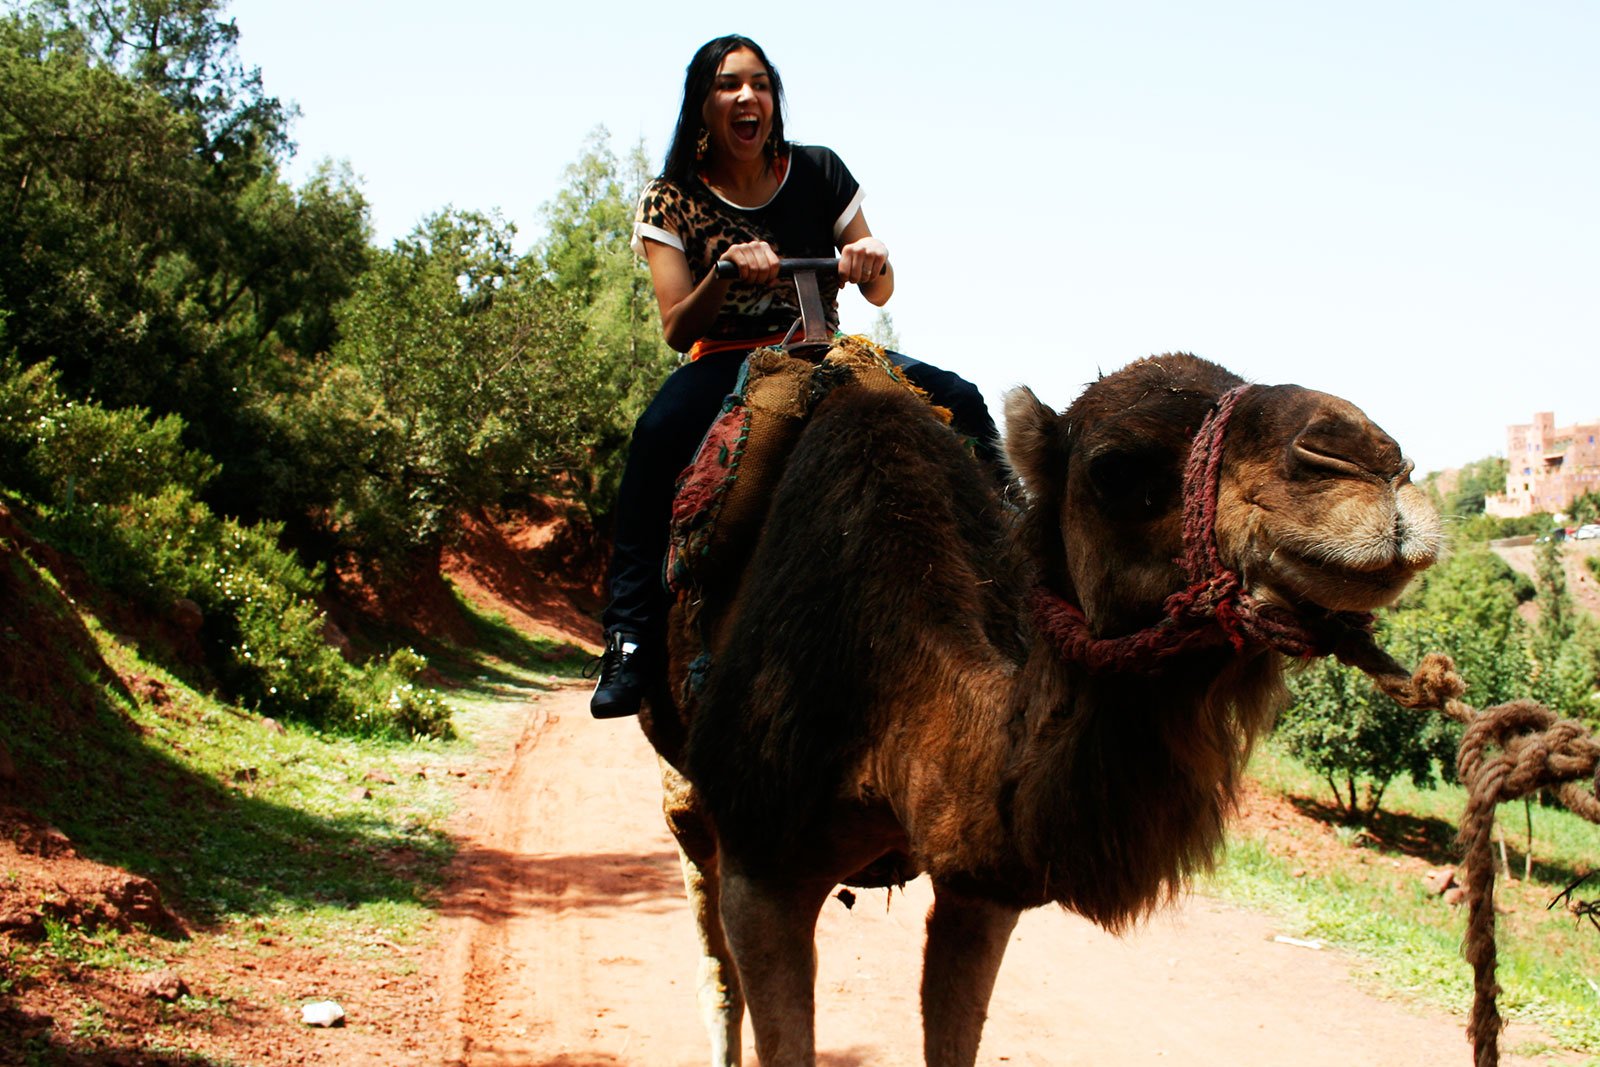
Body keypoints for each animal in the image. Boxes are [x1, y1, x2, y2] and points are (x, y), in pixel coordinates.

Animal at [633, 351, 1440, 1067]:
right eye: (1115, 468)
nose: (1370, 460)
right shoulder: (760, 860)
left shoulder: (987, 887)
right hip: (688, 807)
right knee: (718, 980)